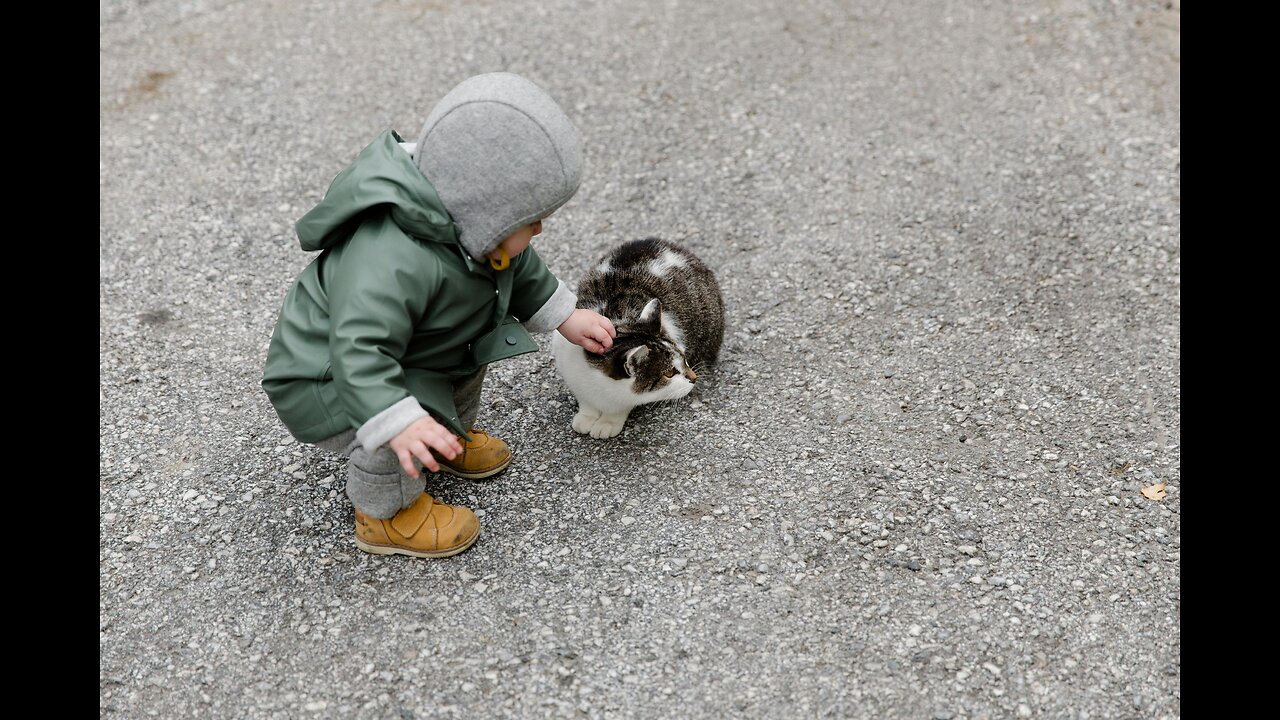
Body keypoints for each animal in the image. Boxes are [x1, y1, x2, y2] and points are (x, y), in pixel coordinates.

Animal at [552, 238, 727, 435]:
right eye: (669, 373)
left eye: (684, 359)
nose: (693, 377)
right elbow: (586, 401)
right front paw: (587, 417)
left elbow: (621, 406)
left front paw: (608, 422)